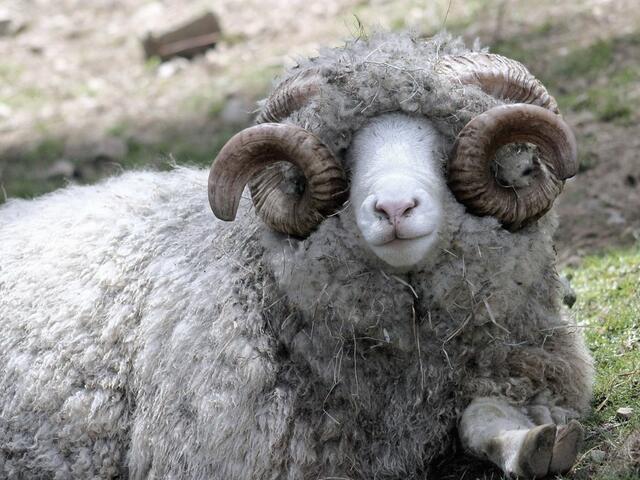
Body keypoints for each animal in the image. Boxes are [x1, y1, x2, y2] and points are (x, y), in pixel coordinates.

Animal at [0, 32, 593, 479]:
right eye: (343, 154)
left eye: (446, 141)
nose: (394, 207)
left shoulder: (520, 365)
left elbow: (485, 415)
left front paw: (536, 445)